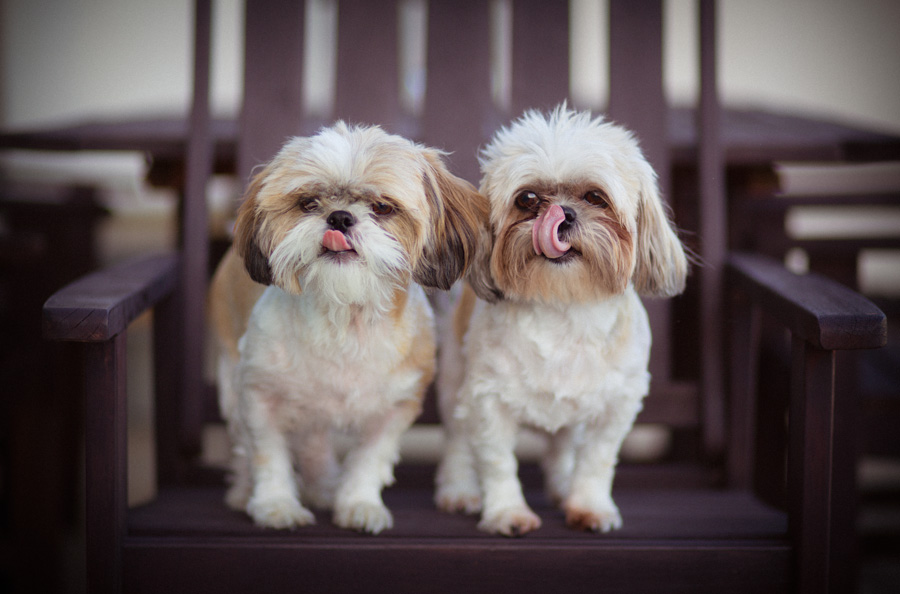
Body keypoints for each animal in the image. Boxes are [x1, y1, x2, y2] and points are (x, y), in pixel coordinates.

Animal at [209, 121, 492, 532]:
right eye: (308, 203)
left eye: (383, 207)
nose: (339, 217)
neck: (346, 319)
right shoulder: (258, 396)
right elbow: (267, 454)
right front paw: (276, 504)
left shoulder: (396, 407)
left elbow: (369, 460)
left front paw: (359, 503)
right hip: (232, 382)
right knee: (249, 447)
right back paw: (245, 491)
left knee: (313, 443)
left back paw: (323, 486)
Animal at [432, 104, 684, 536]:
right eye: (528, 198)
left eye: (595, 197)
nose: (562, 214)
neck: (564, 307)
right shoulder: (487, 402)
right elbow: (497, 463)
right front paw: (507, 512)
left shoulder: (616, 405)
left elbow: (595, 462)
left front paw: (589, 506)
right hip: (453, 382)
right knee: (458, 442)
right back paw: (459, 489)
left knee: (563, 447)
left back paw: (563, 485)